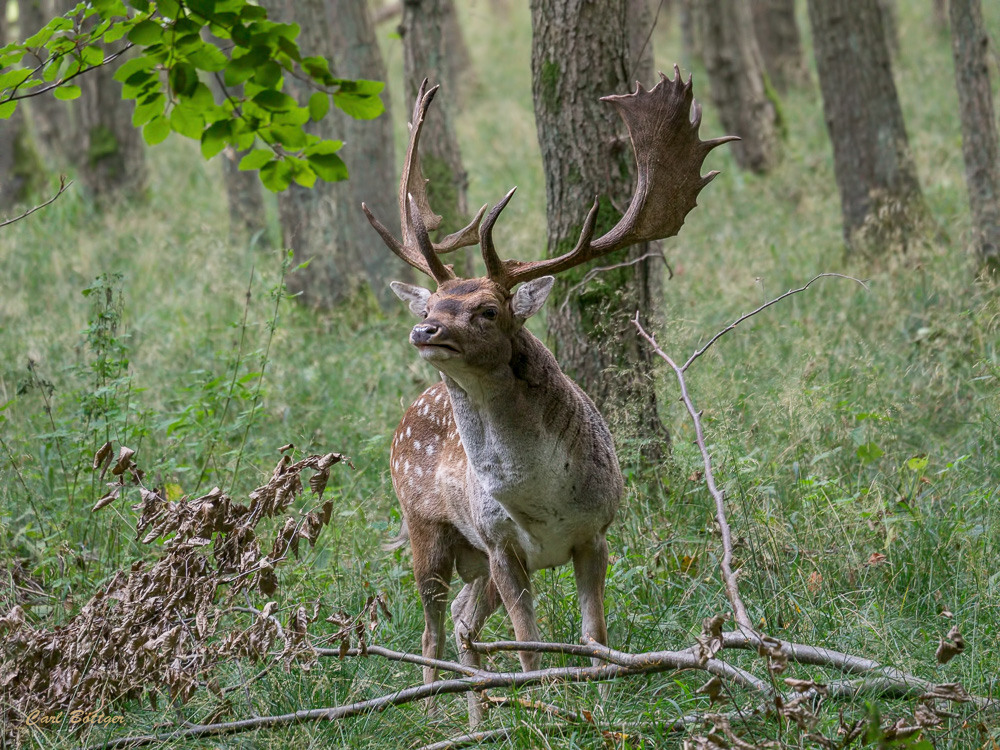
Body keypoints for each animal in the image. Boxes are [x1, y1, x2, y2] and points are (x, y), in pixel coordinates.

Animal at [364, 67, 732, 724]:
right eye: (432, 306)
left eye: (487, 311)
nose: (425, 330)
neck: (543, 500)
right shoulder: (502, 545)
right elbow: (529, 641)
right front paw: (544, 703)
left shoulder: (595, 532)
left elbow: (595, 635)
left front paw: (601, 701)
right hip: (426, 528)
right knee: (433, 629)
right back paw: (435, 711)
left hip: (470, 561)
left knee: (464, 627)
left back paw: (475, 715)